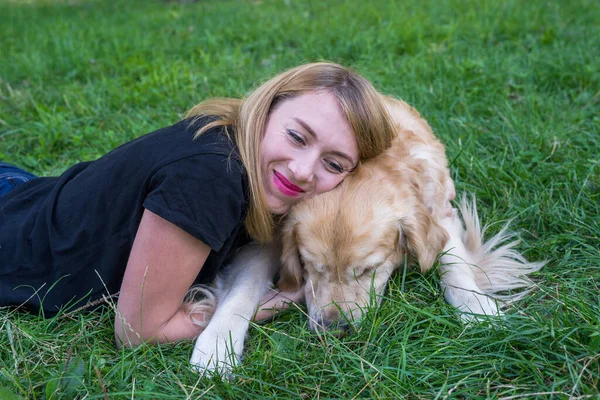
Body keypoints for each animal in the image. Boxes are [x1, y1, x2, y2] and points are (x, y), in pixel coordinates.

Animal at [186, 95, 544, 374]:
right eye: (310, 266)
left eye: (368, 270)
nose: (333, 330)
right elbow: (244, 288)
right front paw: (217, 344)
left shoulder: (441, 210)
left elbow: (454, 263)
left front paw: (478, 308)